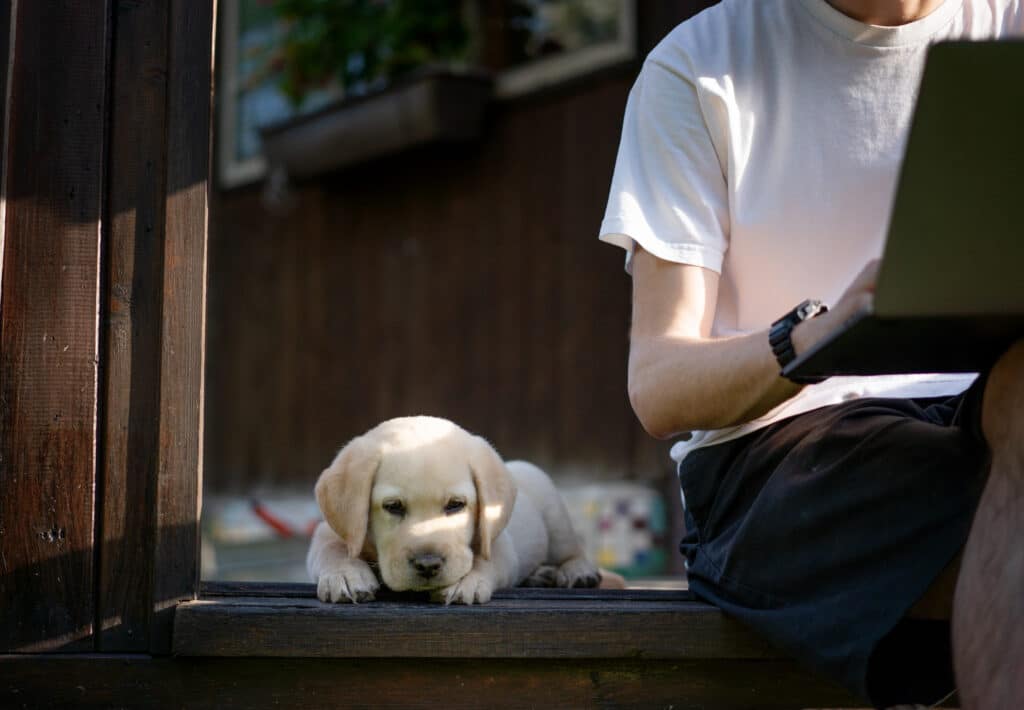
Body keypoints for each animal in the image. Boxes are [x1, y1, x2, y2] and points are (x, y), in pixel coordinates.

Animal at [305, 415, 598, 602]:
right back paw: (539, 576)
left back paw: (578, 572)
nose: (427, 565)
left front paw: (465, 582)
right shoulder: (328, 532)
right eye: (393, 506)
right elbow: (332, 549)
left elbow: (483, 560)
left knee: (572, 550)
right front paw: (345, 575)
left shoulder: (500, 544)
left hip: (553, 513)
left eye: (456, 505)